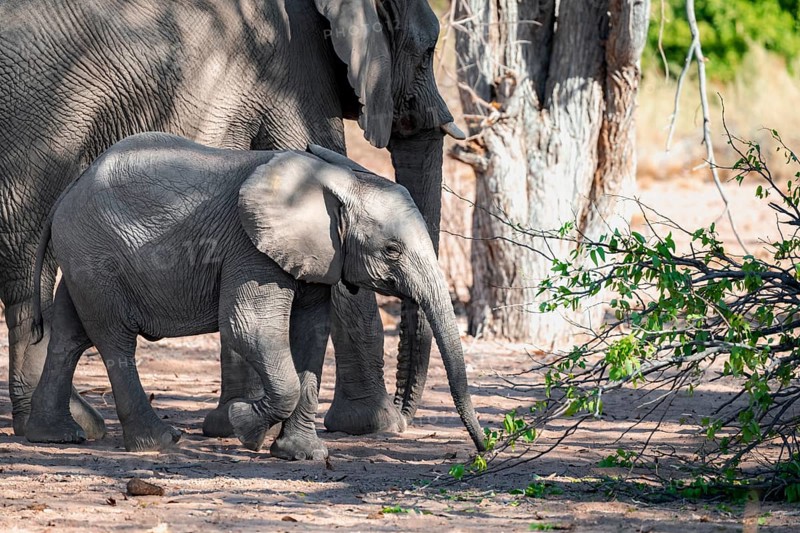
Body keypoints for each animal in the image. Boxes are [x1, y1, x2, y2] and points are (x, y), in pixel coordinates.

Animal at [0, 0, 463, 439]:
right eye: (427, 52)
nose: (406, 413)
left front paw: (237, 426)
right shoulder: (292, 65)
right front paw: (373, 424)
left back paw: (63, 428)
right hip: (35, 112)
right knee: (31, 258)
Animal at [23, 133, 485, 458]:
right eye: (392, 250)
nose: (484, 448)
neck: (338, 180)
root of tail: (65, 194)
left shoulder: (314, 256)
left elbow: (311, 333)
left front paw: (301, 455)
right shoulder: (251, 247)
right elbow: (248, 328)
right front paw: (245, 428)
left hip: (84, 259)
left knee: (69, 336)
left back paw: (56, 437)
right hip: (96, 256)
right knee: (115, 340)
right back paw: (160, 442)